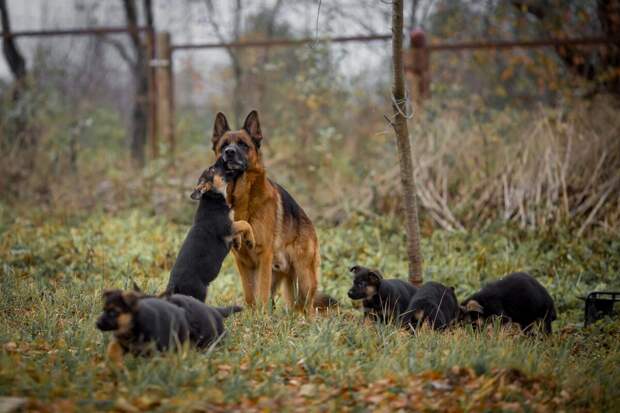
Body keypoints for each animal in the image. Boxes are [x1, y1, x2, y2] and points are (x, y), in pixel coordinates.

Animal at [165, 158, 254, 302]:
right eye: (212, 169)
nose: (222, 158)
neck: (213, 197)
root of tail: (173, 285)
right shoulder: (227, 226)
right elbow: (245, 223)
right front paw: (251, 240)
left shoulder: (231, 226)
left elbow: (240, 227)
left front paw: (238, 242)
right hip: (200, 292)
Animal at [211, 111, 336, 310]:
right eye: (224, 145)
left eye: (243, 144)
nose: (229, 152)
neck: (243, 198)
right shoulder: (242, 261)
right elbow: (250, 296)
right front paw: (252, 315)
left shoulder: (263, 256)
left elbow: (260, 295)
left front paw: (261, 316)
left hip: (304, 280)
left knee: (309, 308)